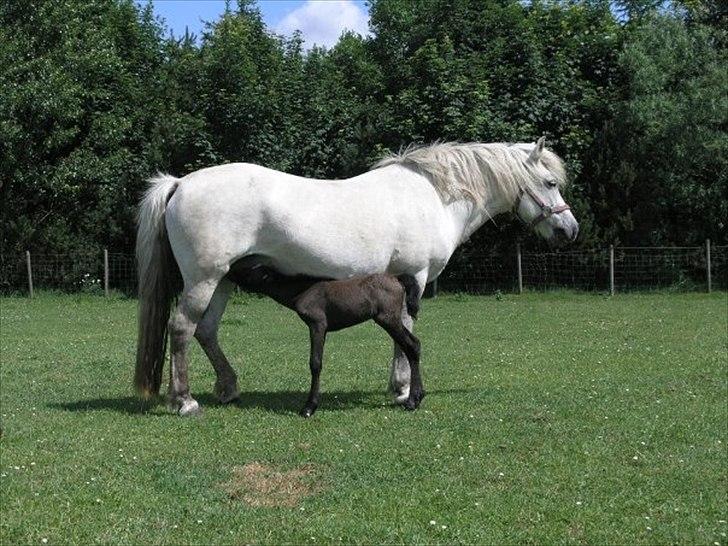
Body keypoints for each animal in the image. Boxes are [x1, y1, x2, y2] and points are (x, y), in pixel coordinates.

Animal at [226, 262, 420, 414]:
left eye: (251, 270)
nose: (229, 271)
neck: (303, 291)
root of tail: (397, 279)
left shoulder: (317, 326)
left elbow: (315, 363)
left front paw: (309, 407)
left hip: (388, 320)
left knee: (411, 346)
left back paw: (412, 401)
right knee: (415, 345)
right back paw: (417, 397)